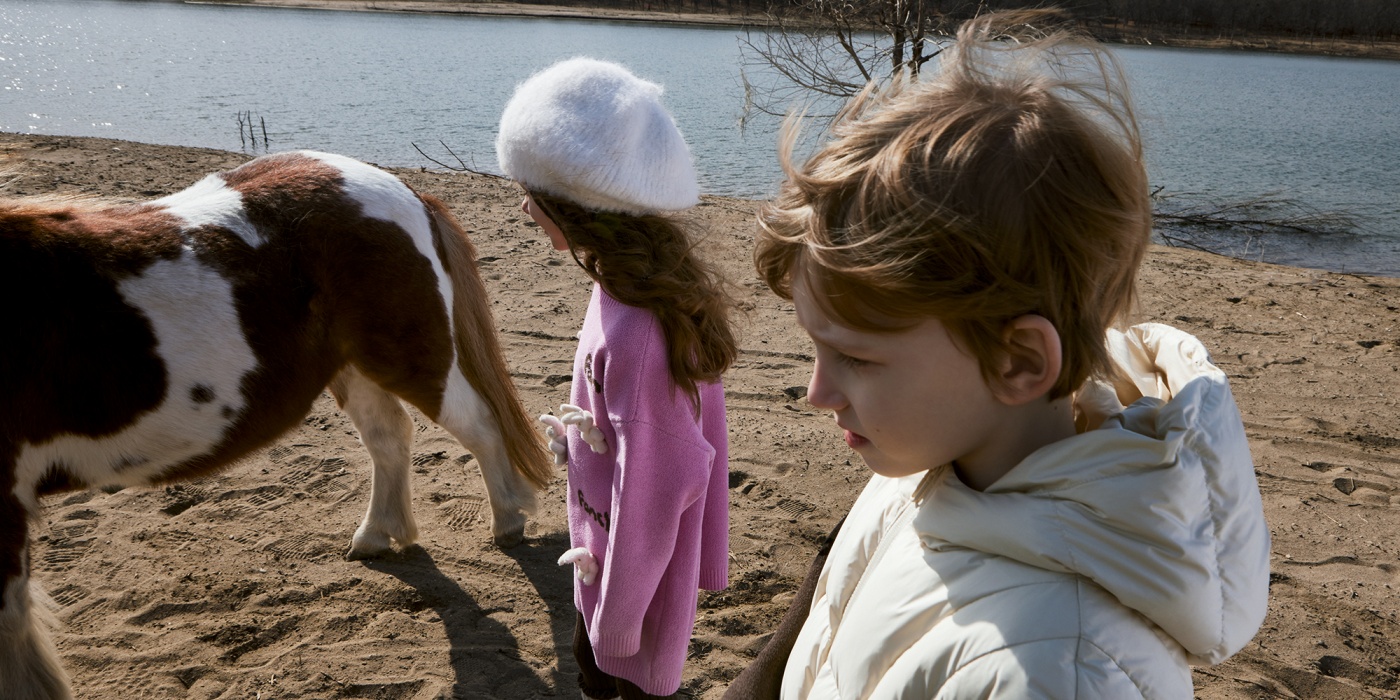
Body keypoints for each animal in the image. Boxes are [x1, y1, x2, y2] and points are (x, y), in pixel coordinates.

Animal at [0, 150, 554, 697]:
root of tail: (401, 188)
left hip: (410, 358)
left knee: (479, 426)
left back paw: (507, 523)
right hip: (355, 367)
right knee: (389, 437)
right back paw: (377, 535)